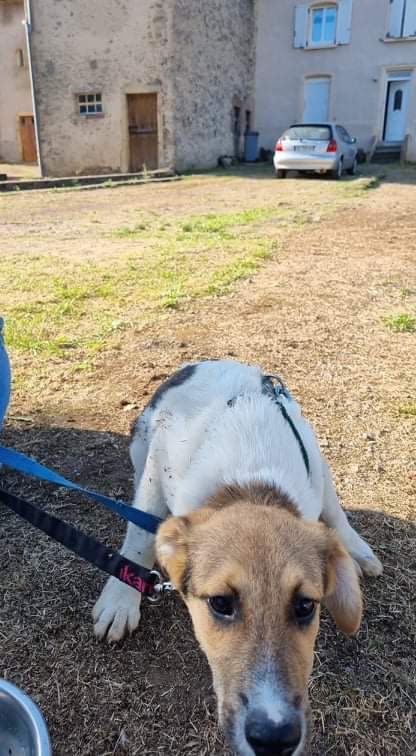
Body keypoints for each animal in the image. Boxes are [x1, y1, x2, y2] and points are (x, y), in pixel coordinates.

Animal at [92, 362, 382, 756]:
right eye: (220, 603)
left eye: (306, 606)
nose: (275, 740)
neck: (248, 485)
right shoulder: (155, 471)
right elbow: (140, 535)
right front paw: (120, 600)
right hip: (140, 442)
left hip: (317, 459)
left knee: (335, 510)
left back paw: (358, 551)